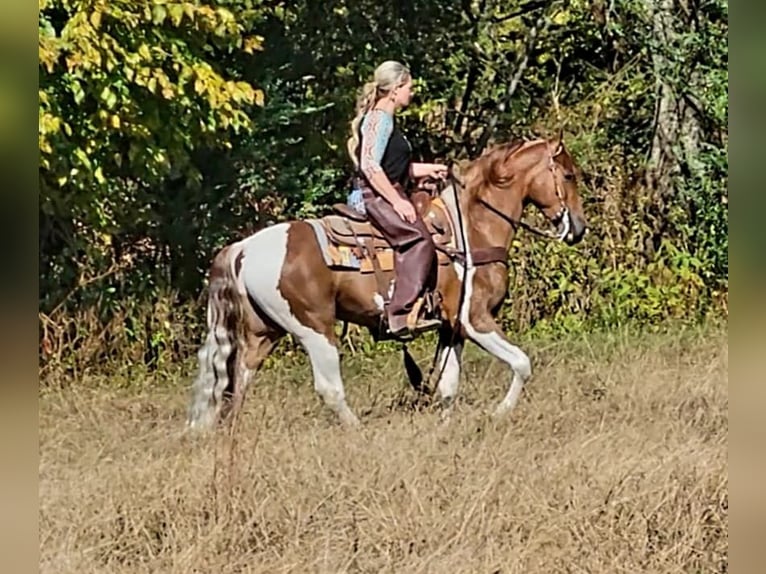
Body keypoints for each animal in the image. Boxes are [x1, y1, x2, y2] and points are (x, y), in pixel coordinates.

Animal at [184, 134, 588, 432]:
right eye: (568, 175)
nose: (578, 228)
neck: (471, 228)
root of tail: (243, 248)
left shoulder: (452, 327)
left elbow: (448, 387)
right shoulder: (475, 319)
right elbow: (522, 363)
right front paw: (499, 413)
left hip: (262, 333)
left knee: (236, 384)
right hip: (314, 329)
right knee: (328, 388)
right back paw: (357, 432)